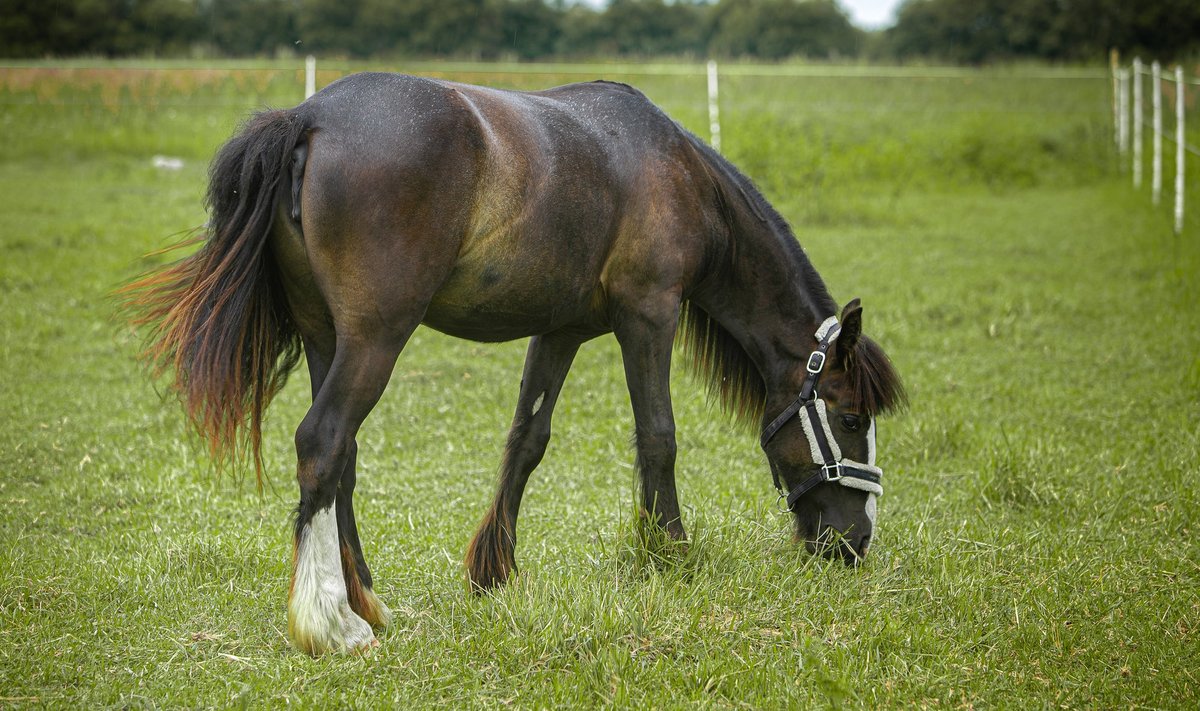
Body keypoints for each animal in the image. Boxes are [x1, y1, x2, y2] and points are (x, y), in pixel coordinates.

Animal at [126, 72, 902, 653]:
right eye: (850, 416)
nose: (856, 542)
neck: (673, 170)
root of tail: (307, 119)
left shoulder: (560, 332)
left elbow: (527, 440)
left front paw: (493, 570)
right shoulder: (649, 315)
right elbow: (659, 436)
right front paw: (671, 555)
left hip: (328, 338)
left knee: (340, 455)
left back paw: (367, 600)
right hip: (376, 337)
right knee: (322, 441)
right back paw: (333, 623)